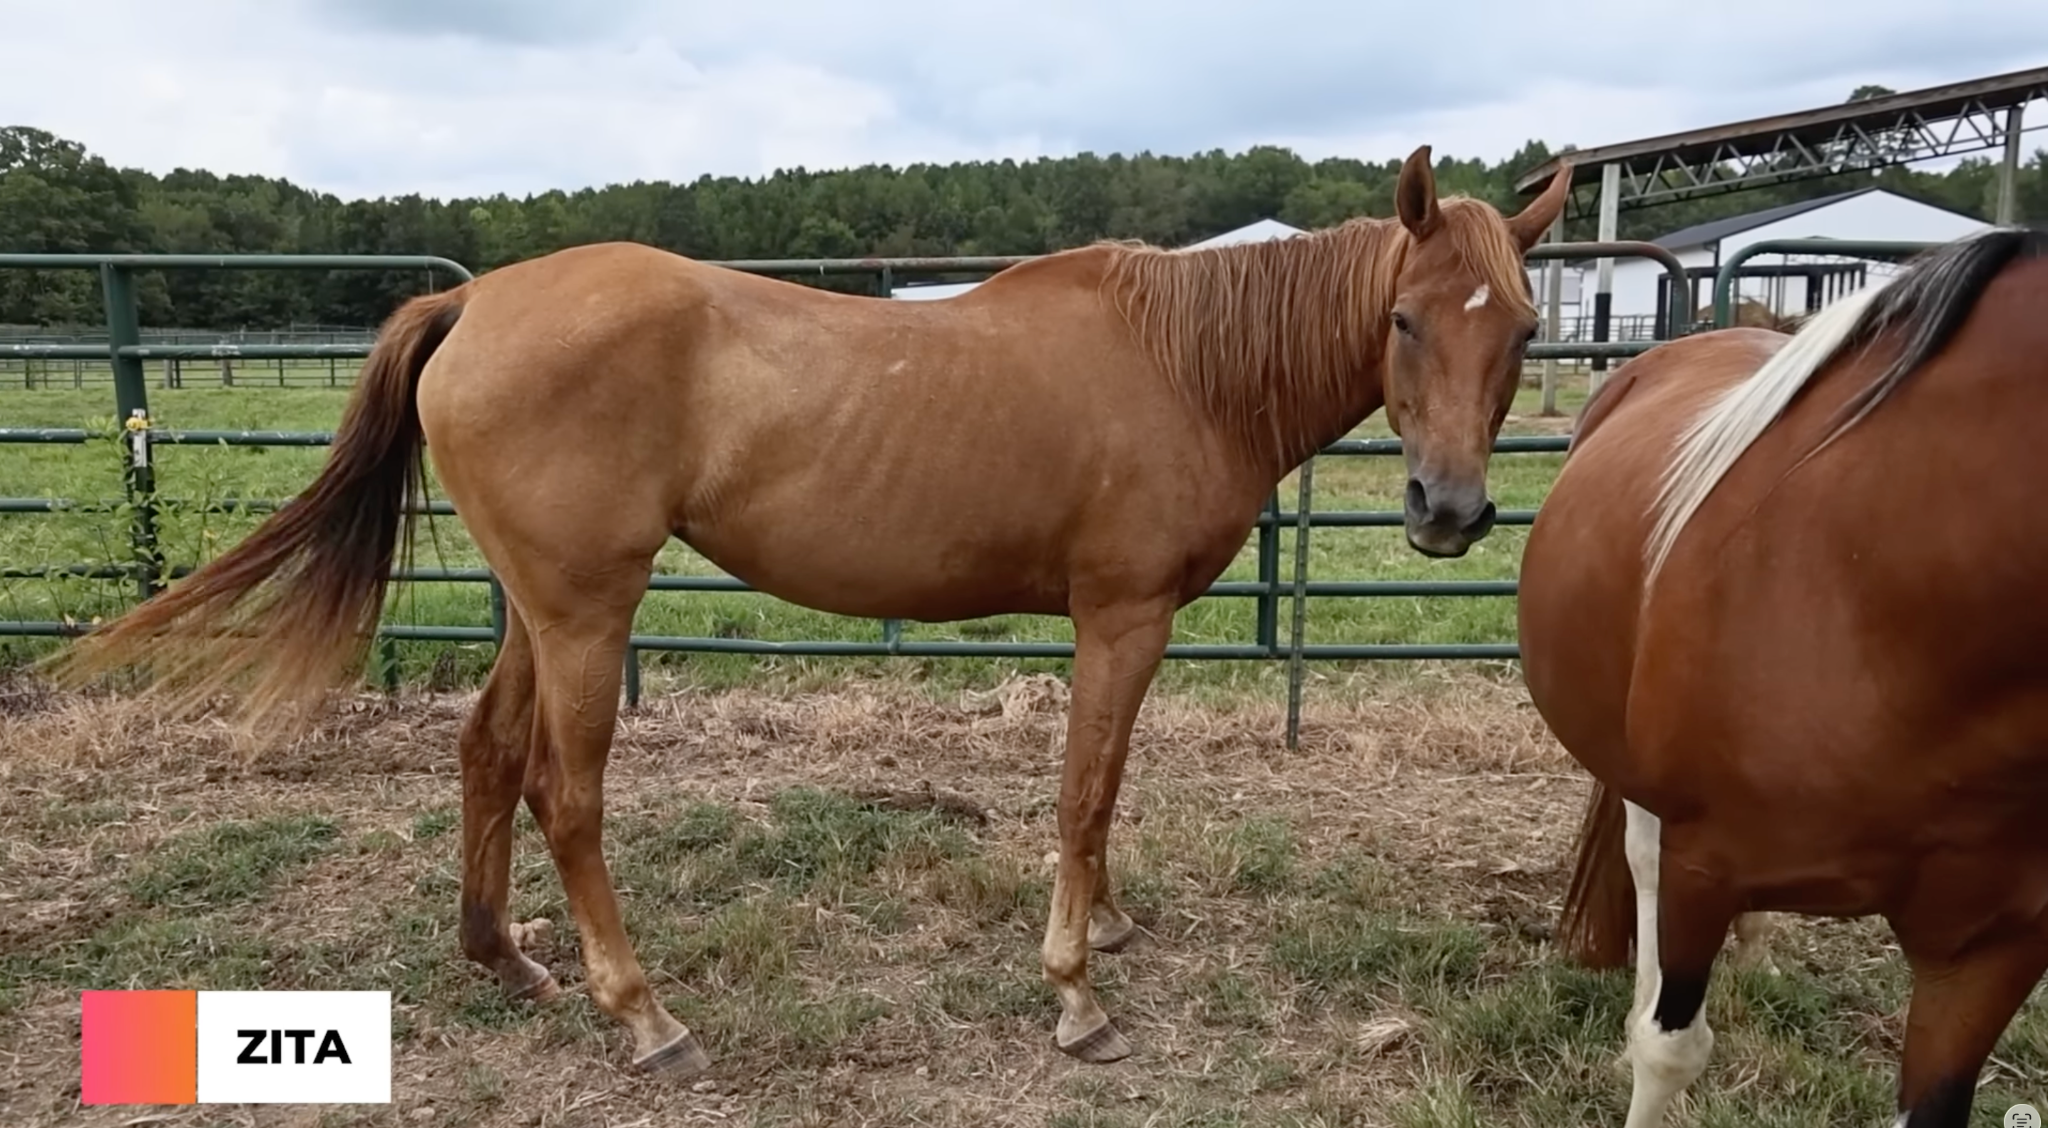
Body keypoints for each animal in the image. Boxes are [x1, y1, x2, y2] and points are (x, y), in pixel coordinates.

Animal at [48, 144, 1573, 1076]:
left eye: (1522, 332)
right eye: (1404, 322)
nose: (1448, 512)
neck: (1183, 363)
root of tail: (474, 304)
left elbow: (1105, 787)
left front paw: (1110, 928)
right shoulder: (1119, 619)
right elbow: (1083, 791)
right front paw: (1075, 988)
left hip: (535, 611)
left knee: (485, 752)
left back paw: (506, 962)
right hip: (589, 617)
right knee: (566, 794)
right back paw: (642, 1012)